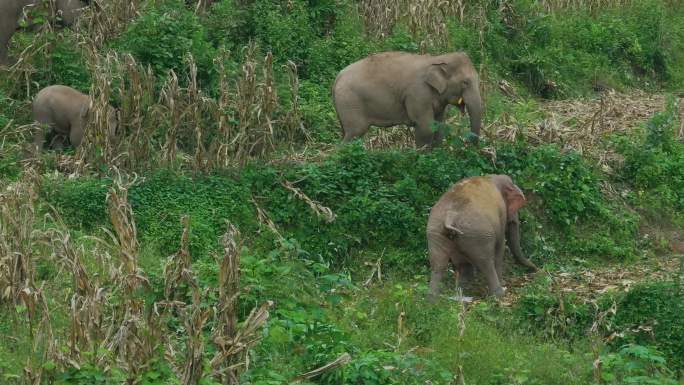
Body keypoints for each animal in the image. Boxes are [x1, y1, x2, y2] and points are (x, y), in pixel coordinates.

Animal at [332, 51, 484, 147]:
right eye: (465, 82)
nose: (470, 148)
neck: (436, 59)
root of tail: (337, 77)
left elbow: (439, 126)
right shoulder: (418, 94)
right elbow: (426, 127)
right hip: (350, 102)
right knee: (354, 133)